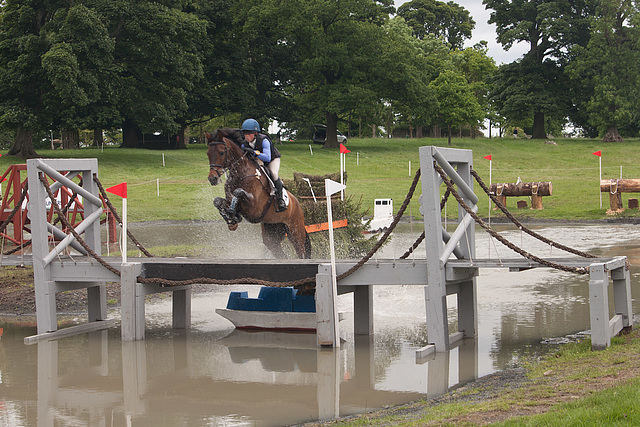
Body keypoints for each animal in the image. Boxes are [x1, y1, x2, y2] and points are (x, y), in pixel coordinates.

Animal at [206, 129, 312, 260]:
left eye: (221, 153)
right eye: (208, 153)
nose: (212, 179)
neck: (241, 174)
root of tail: (297, 203)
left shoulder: (254, 209)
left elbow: (238, 192)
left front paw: (233, 215)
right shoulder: (230, 201)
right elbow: (217, 201)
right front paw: (232, 220)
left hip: (295, 231)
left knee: (301, 252)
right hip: (272, 233)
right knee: (279, 252)